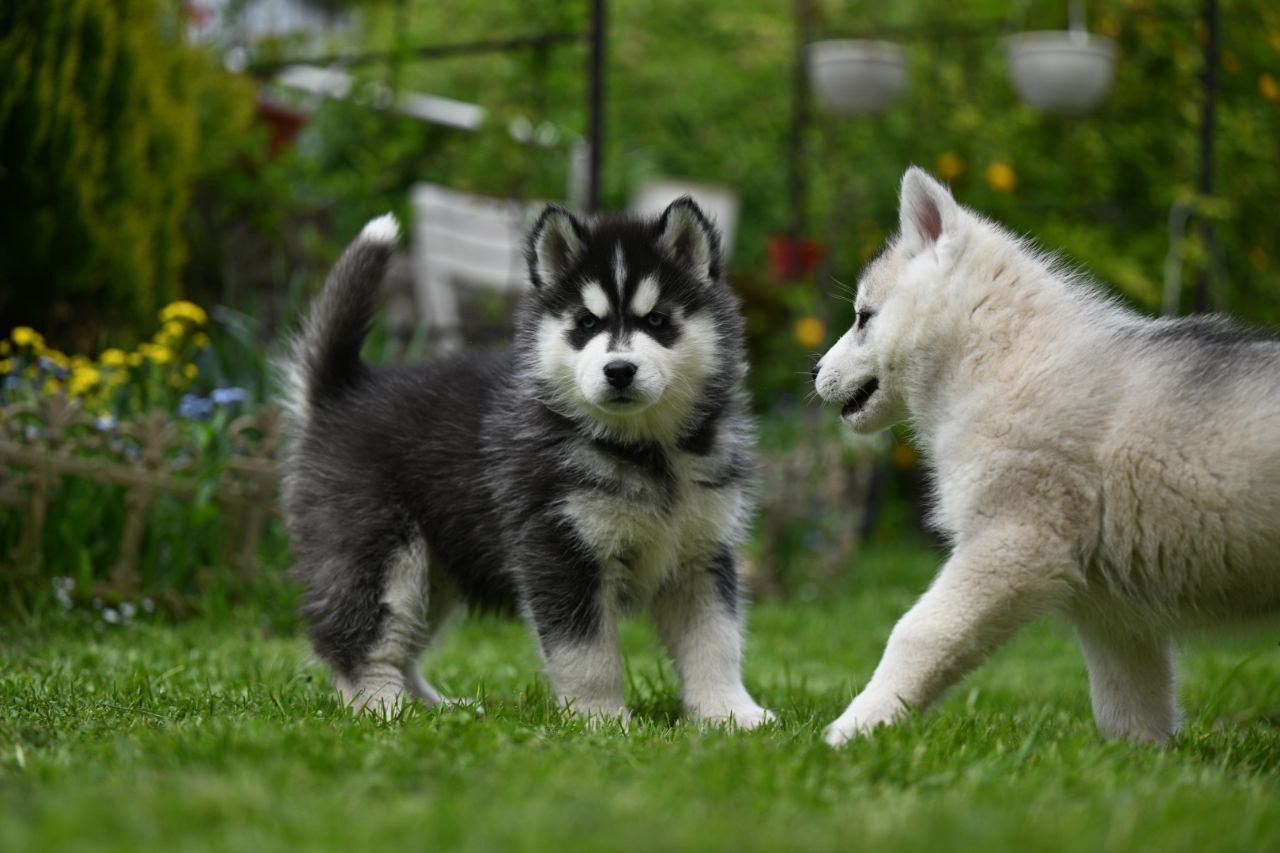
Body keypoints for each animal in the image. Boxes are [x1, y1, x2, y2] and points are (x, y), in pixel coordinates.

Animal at [284, 197, 773, 722]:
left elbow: (716, 642)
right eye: (587, 323)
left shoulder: (701, 553)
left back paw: (436, 710)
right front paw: (601, 719)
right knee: (358, 638)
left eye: (657, 320)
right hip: (380, 552)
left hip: (436, 571)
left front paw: (732, 714)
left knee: (402, 646)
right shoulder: (560, 549)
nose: (619, 370)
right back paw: (382, 708)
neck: (645, 448)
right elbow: (587, 654)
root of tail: (344, 390)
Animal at [819, 166, 1280, 742]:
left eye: (863, 318)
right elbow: (1128, 709)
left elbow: (919, 632)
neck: (999, 357)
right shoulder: (1114, 615)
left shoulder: (1014, 540)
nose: (814, 373)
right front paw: (1137, 763)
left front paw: (856, 729)